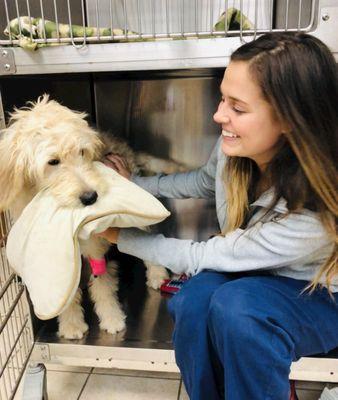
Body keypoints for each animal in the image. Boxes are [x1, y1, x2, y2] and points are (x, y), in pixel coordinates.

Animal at [0, 95, 184, 340]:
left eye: (82, 152)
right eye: (53, 162)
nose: (91, 197)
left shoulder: (96, 246)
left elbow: (103, 285)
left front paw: (112, 318)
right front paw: (71, 325)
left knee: (149, 237)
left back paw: (156, 274)